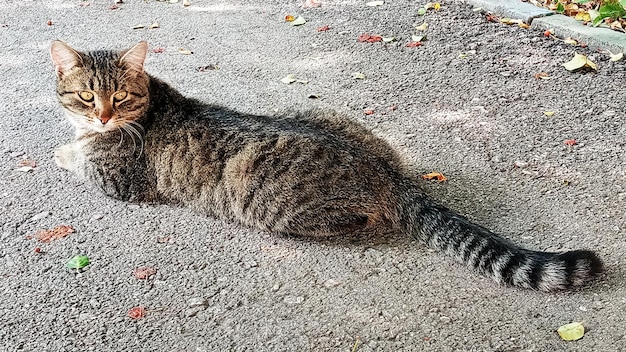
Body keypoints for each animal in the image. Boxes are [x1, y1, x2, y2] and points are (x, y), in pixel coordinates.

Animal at [51, 39, 604, 292]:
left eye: (119, 97)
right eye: (86, 96)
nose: (102, 116)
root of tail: (388, 173)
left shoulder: (117, 179)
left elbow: (74, 157)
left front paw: (64, 150)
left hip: (273, 206)